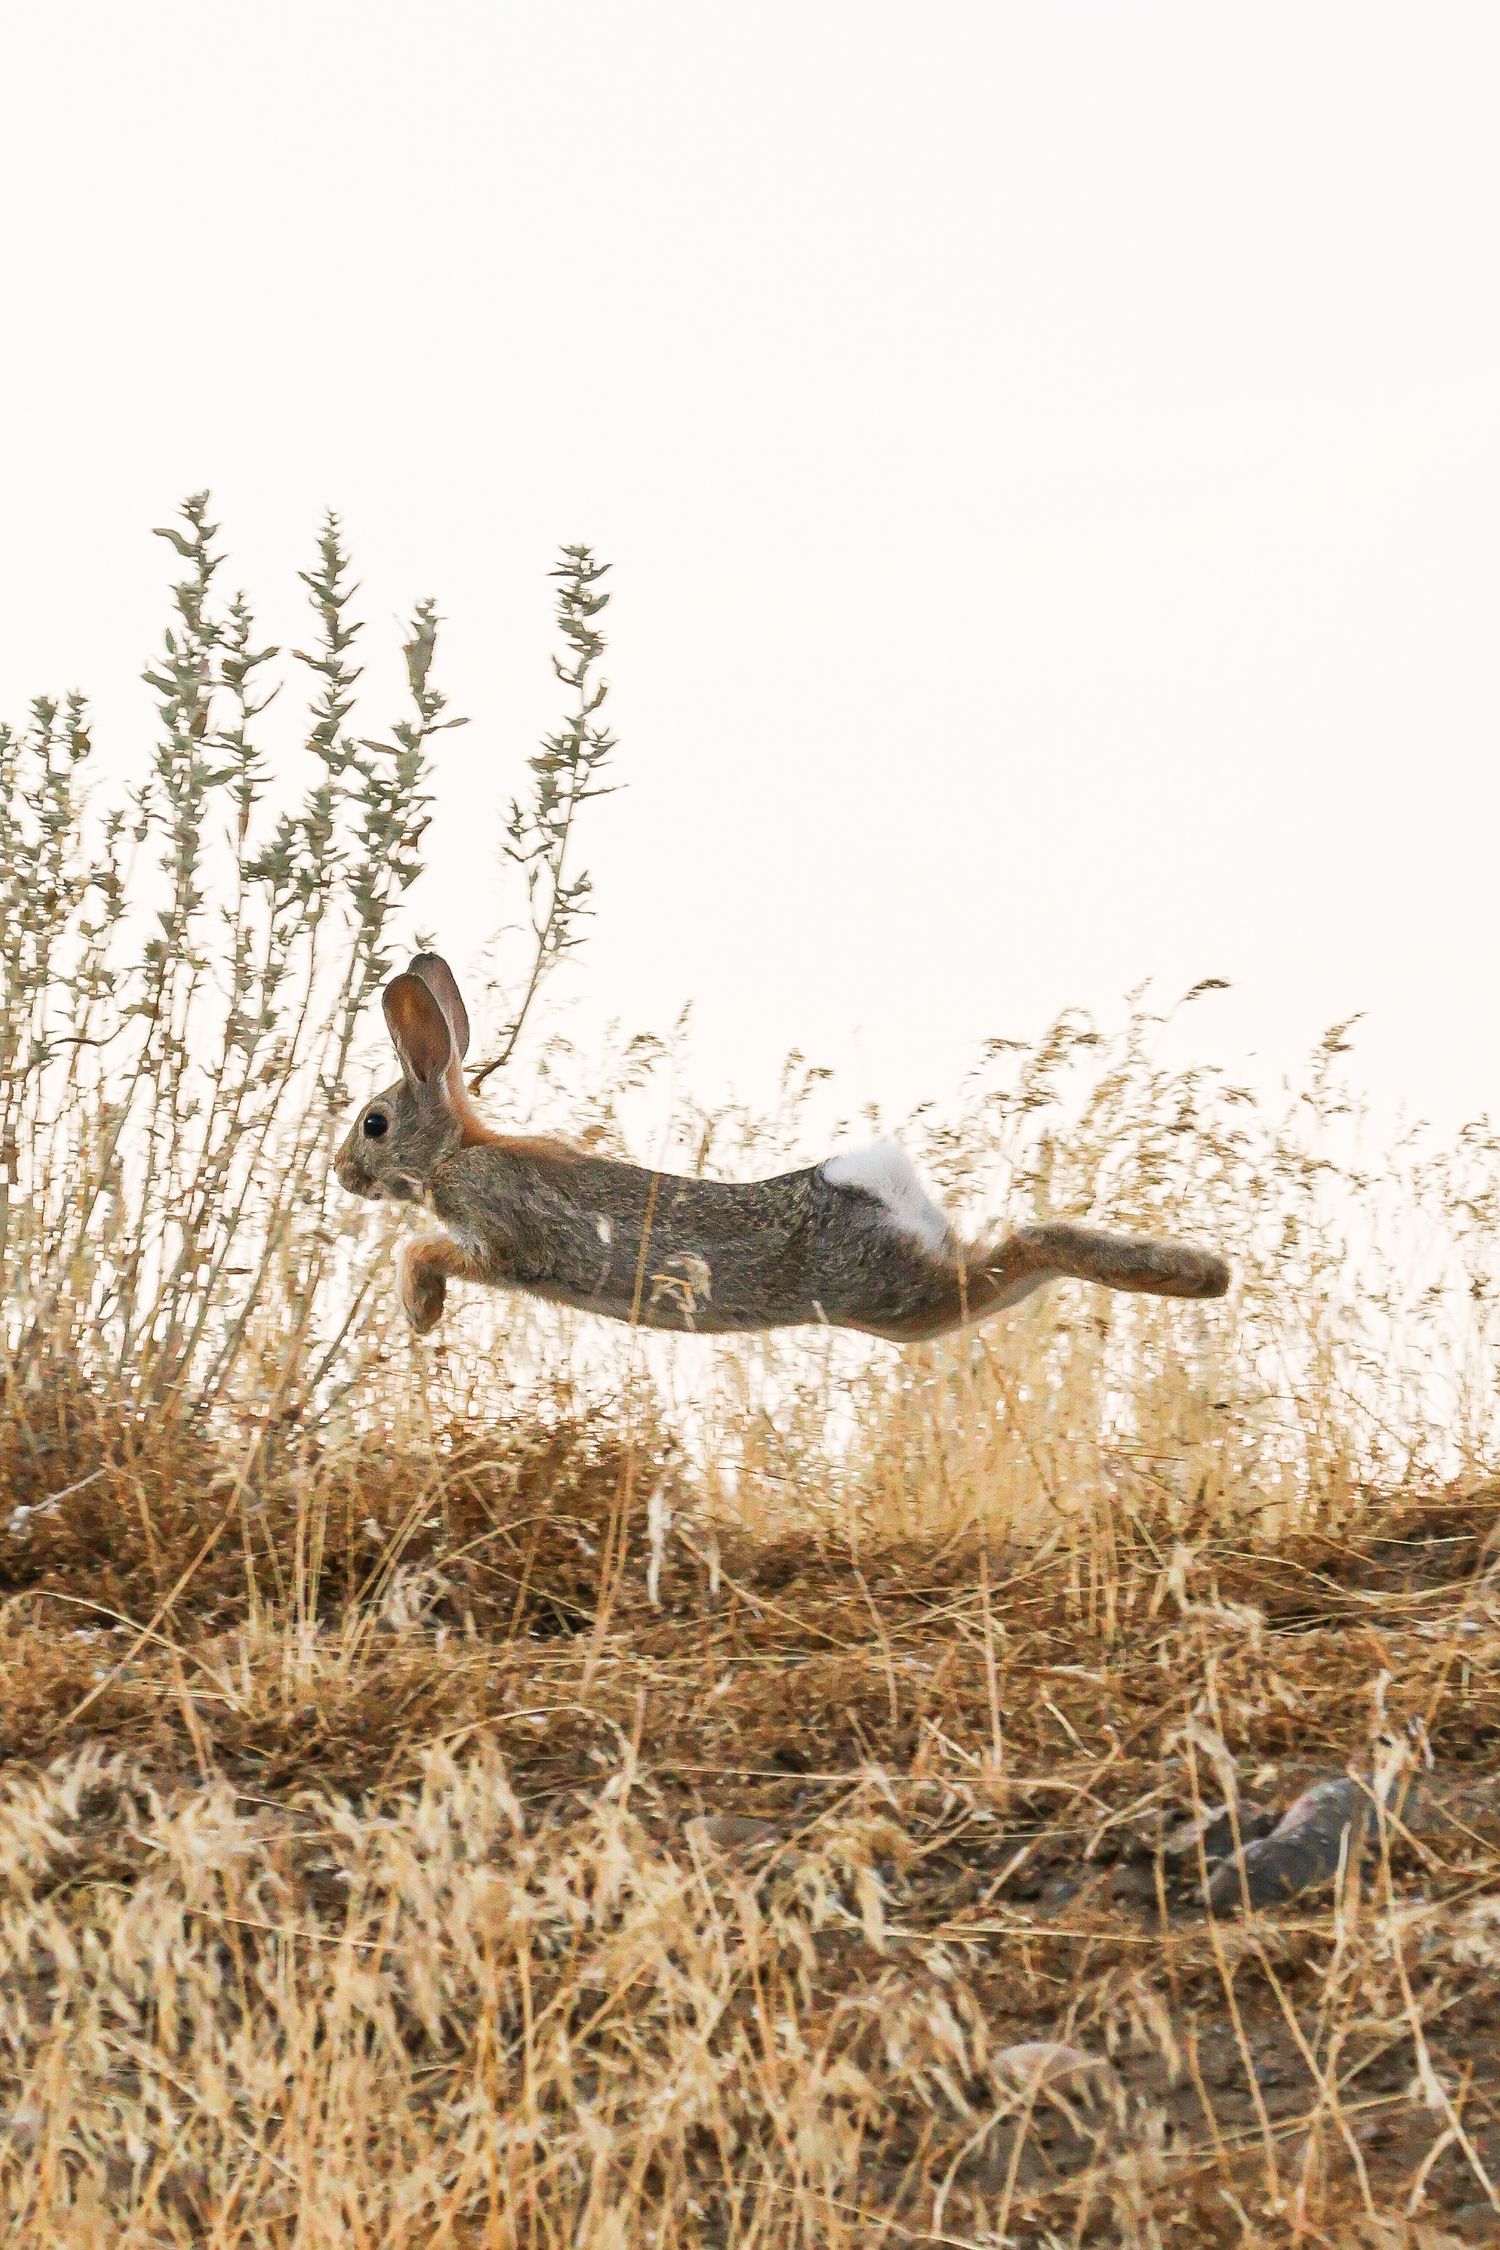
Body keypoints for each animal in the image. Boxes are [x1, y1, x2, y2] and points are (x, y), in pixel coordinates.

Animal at [334, 953, 1230, 1341]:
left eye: (374, 1123)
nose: (342, 1174)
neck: (454, 1149)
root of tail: (874, 1186)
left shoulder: (497, 1230)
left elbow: (427, 1251)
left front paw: (420, 1313)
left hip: (897, 1296)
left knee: (1020, 1249)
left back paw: (1200, 1275)